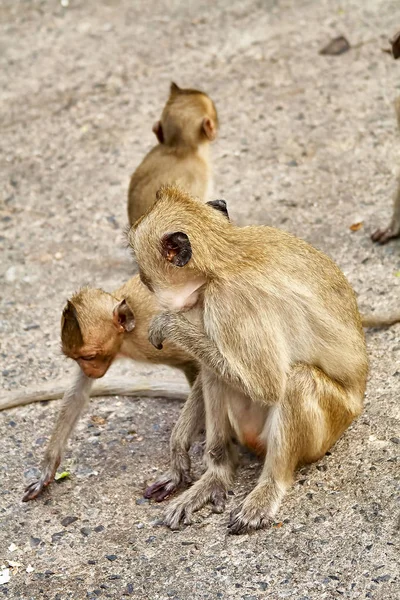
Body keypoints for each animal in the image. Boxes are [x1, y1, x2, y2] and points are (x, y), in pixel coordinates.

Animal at [21, 278, 203, 504]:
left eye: (89, 357)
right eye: (76, 359)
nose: (88, 370)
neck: (129, 333)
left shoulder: (165, 335)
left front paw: (177, 462)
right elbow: (76, 395)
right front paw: (46, 470)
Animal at [130, 186, 370, 536]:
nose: (139, 278)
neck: (224, 255)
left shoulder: (227, 303)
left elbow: (266, 385)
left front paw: (169, 324)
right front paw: (179, 450)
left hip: (325, 431)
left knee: (296, 381)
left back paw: (269, 485)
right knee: (215, 374)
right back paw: (217, 473)